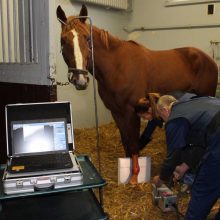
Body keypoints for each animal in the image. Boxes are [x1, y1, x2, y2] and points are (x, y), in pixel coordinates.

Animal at [55, 4, 217, 184]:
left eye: (87, 38)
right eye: (63, 40)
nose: (80, 80)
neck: (117, 66)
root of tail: (207, 58)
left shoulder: (131, 111)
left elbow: (133, 143)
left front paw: (135, 176)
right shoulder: (117, 112)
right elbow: (126, 141)